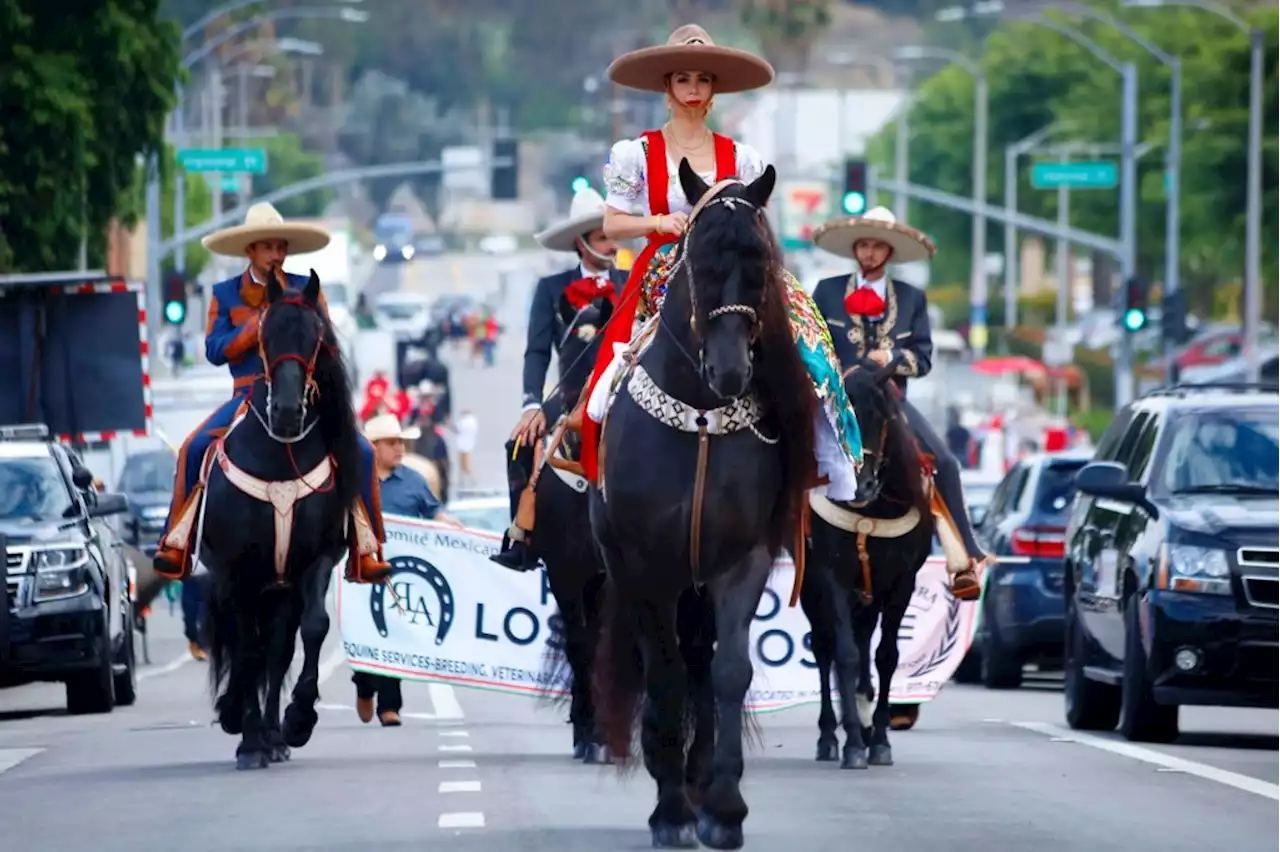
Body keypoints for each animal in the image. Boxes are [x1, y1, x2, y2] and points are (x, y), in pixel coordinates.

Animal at [199, 272, 360, 767]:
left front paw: (297, 720)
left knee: (278, 648)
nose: (287, 412)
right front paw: (247, 734)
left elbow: (312, 629)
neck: (279, 460)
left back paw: (273, 735)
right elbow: (247, 650)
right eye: (265, 336)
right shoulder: (234, 570)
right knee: (247, 647)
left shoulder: (317, 558)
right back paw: (246, 725)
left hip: (279, 588)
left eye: (315, 338)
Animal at [586, 161, 808, 849]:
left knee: (703, 664)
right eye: (701, 262)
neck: (703, 417)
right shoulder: (647, 566)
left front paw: (724, 808)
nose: (732, 372)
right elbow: (664, 675)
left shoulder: (742, 560)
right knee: (675, 666)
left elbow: (729, 672)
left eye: (759, 263)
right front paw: (671, 813)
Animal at [803, 355, 936, 767]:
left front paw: (877, 739)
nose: (858, 487)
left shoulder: (901, 583)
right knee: (826, 648)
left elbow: (886, 656)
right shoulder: (831, 577)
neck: (871, 511)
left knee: (863, 643)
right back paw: (830, 735)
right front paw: (852, 745)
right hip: (815, 588)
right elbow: (844, 655)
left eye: (881, 416)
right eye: (834, 422)